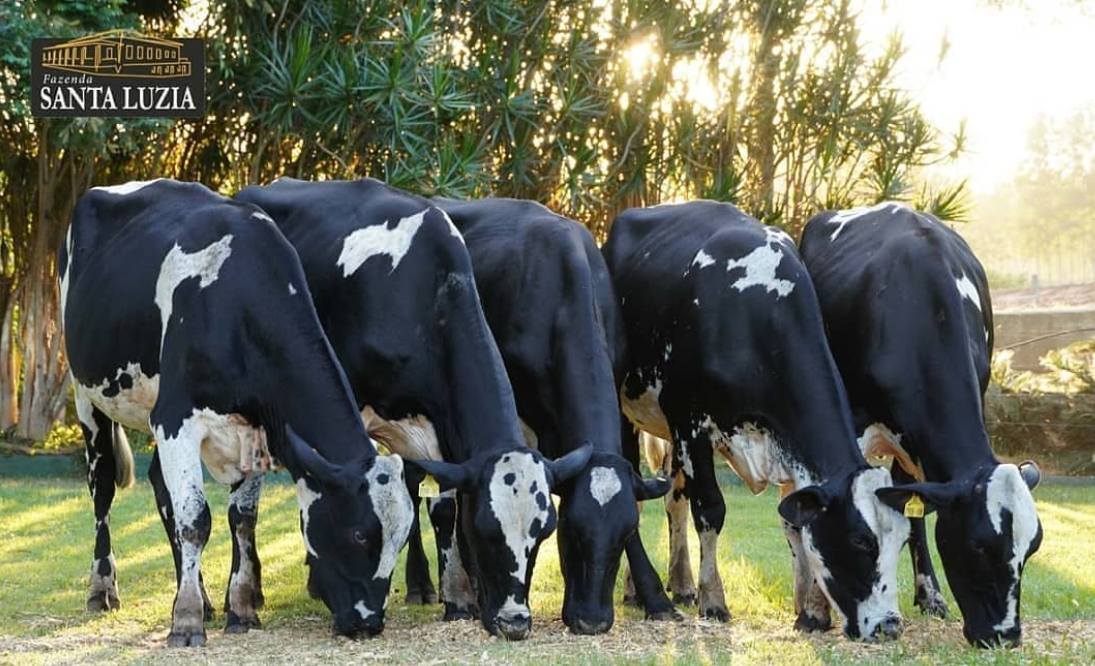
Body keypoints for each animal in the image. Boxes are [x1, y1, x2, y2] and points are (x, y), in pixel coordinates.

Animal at [60, 179, 415, 646]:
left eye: (403, 538)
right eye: (359, 534)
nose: (369, 622)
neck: (235, 302)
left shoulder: (257, 426)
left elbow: (241, 518)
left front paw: (240, 609)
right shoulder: (176, 418)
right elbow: (195, 520)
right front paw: (186, 621)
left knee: (161, 487)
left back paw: (203, 598)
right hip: (87, 394)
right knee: (101, 487)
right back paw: (103, 590)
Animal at [235, 178, 590, 640]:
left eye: (544, 532)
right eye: (486, 529)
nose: (515, 622)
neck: (424, 293)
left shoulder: (446, 430)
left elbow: (442, 506)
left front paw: (458, 600)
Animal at [603, 200, 911, 641]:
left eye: (901, 542)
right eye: (859, 542)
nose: (889, 625)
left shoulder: (788, 443)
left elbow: (795, 522)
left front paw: (810, 610)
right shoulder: (690, 424)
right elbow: (710, 510)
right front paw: (713, 600)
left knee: (673, 497)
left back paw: (680, 583)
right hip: (629, 410)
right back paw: (641, 592)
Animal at [799, 202, 1042, 647]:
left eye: (1030, 550)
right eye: (978, 545)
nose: (1006, 636)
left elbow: (913, 514)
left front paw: (929, 595)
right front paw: (815, 610)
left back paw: (929, 595)